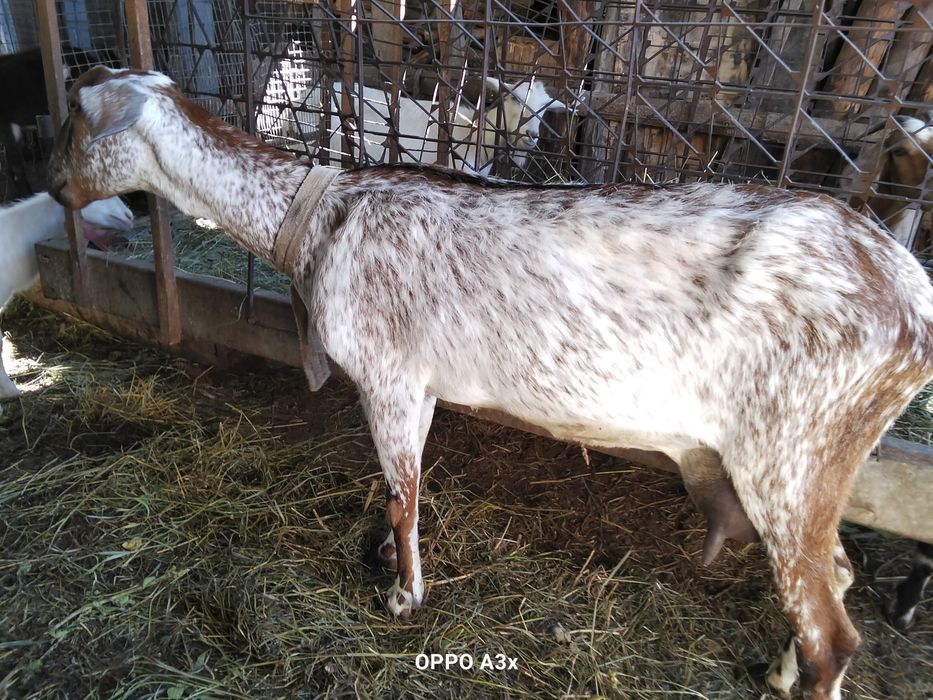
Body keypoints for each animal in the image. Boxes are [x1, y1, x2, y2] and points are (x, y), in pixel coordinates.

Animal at [46, 67, 933, 700]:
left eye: (75, 121)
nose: (53, 190)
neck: (320, 219)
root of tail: (909, 294)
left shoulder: (388, 373)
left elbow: (402, 491)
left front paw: (403, 597)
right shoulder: (416, 383)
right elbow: (400, 488)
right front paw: (387, 564)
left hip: (792, 447)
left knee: (833, 635)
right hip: (810, 463)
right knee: (837, 581)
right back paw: (778, 670)